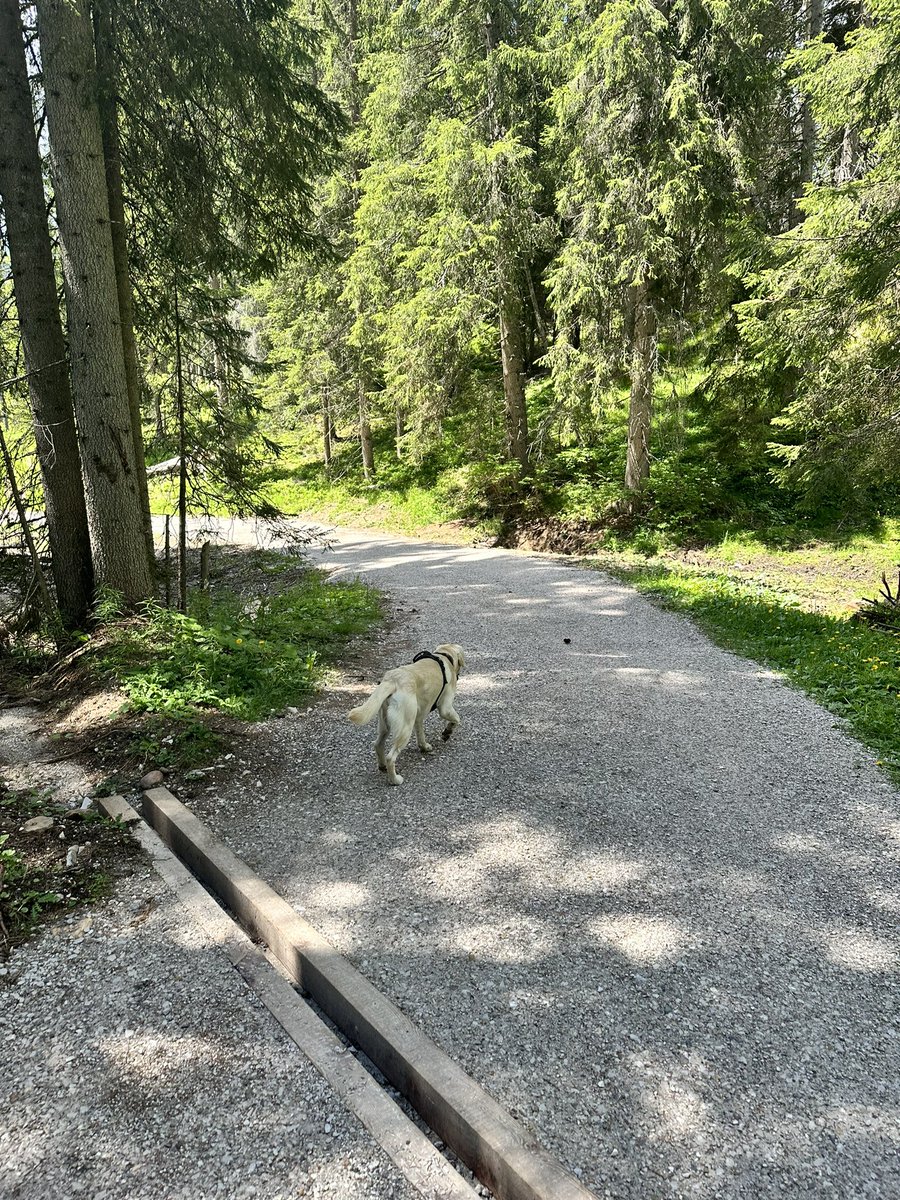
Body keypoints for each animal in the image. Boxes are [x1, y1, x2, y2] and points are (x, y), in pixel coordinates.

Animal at [348, 643, 465, 782]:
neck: (444, 656)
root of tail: (393, 680)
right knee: (391, 757)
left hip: (385, 724)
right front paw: (447, 732)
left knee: (377, 744)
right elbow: (456, 719)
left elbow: (420, 736)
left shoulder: (419, 717)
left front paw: (424, 747)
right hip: (405, 728)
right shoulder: (445, 708)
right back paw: (395, 780)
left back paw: (382, 766)